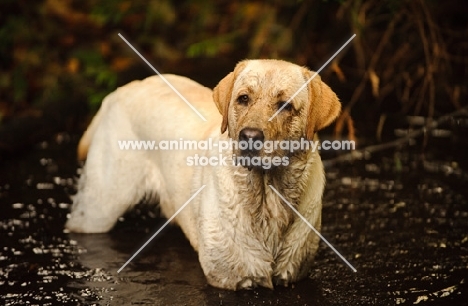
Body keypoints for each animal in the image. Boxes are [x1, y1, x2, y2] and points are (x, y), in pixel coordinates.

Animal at [66, 59, 342, 290]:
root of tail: (120, 91)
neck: (265, 199)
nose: (249, 137)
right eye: (243, 98)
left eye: (285, 105)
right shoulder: (228, 280)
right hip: (99, 209)